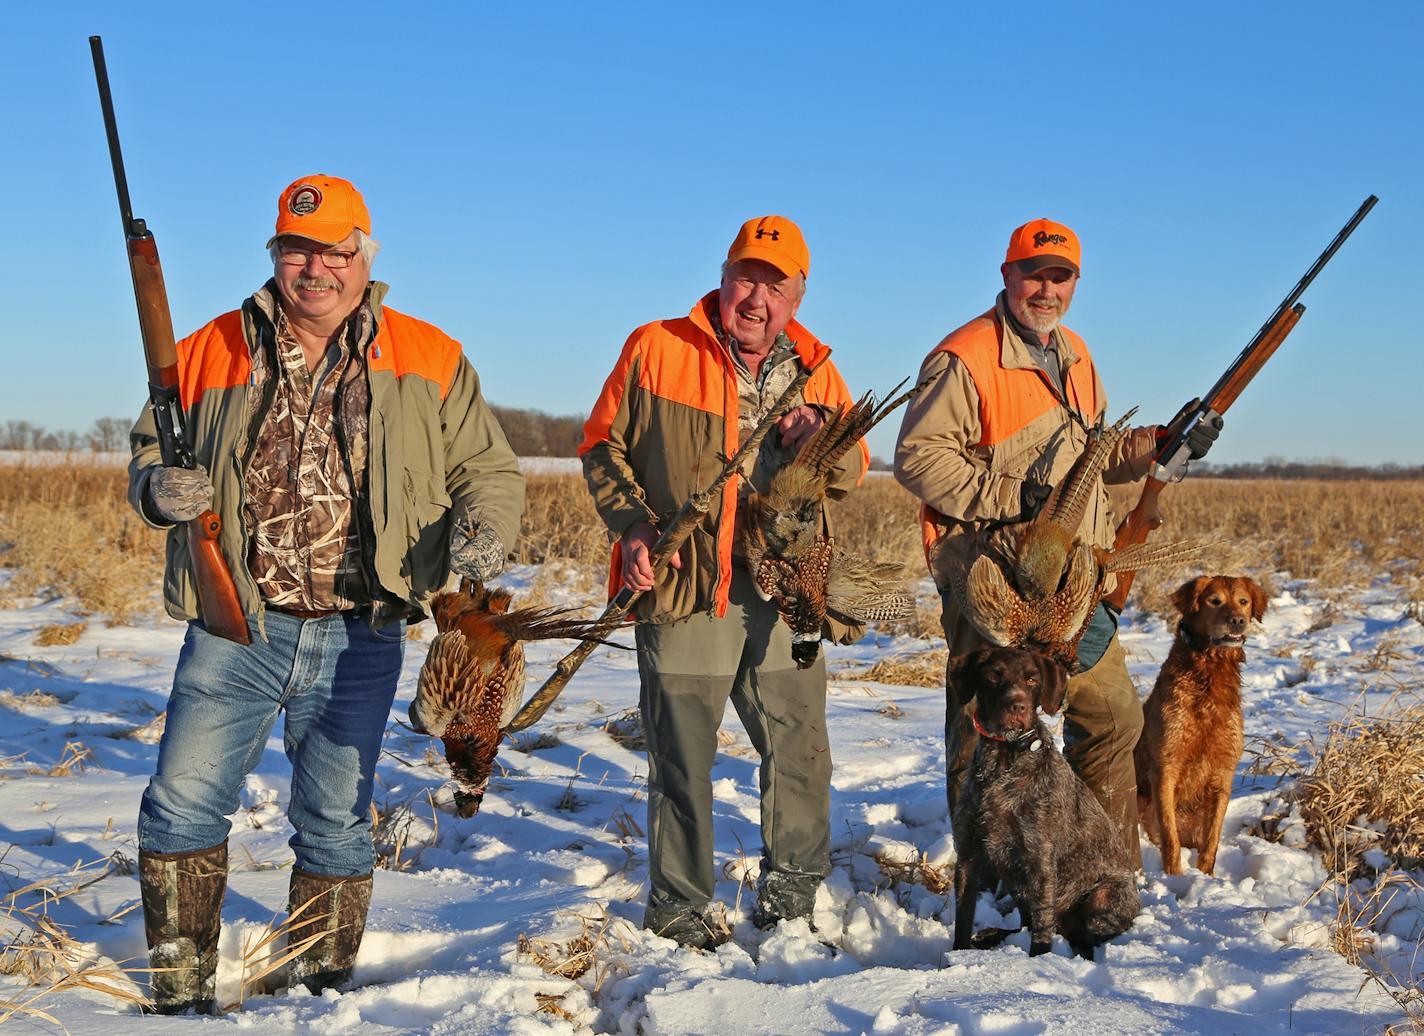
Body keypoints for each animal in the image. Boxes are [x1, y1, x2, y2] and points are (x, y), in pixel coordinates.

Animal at [951, 651, 1139, 956]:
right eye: (993, 675)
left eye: (1032, 680)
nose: (1017, 706)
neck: (1004, 757)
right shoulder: (967, 855)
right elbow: (963, 919)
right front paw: (956, 955)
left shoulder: (1040, 860)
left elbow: (1041, 930)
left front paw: (1040, 962)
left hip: (1102, 896)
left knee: (1081, 936)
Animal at [1133, 574, 1270, 876]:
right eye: (1214, 601)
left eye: (1244, 601)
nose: (1237, 620)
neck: (1209, 670)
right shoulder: (1165, 767)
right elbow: (1170, 839)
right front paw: (1175, 877)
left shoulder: (1223, 772)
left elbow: (1212, 841)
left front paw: (1206, 876)